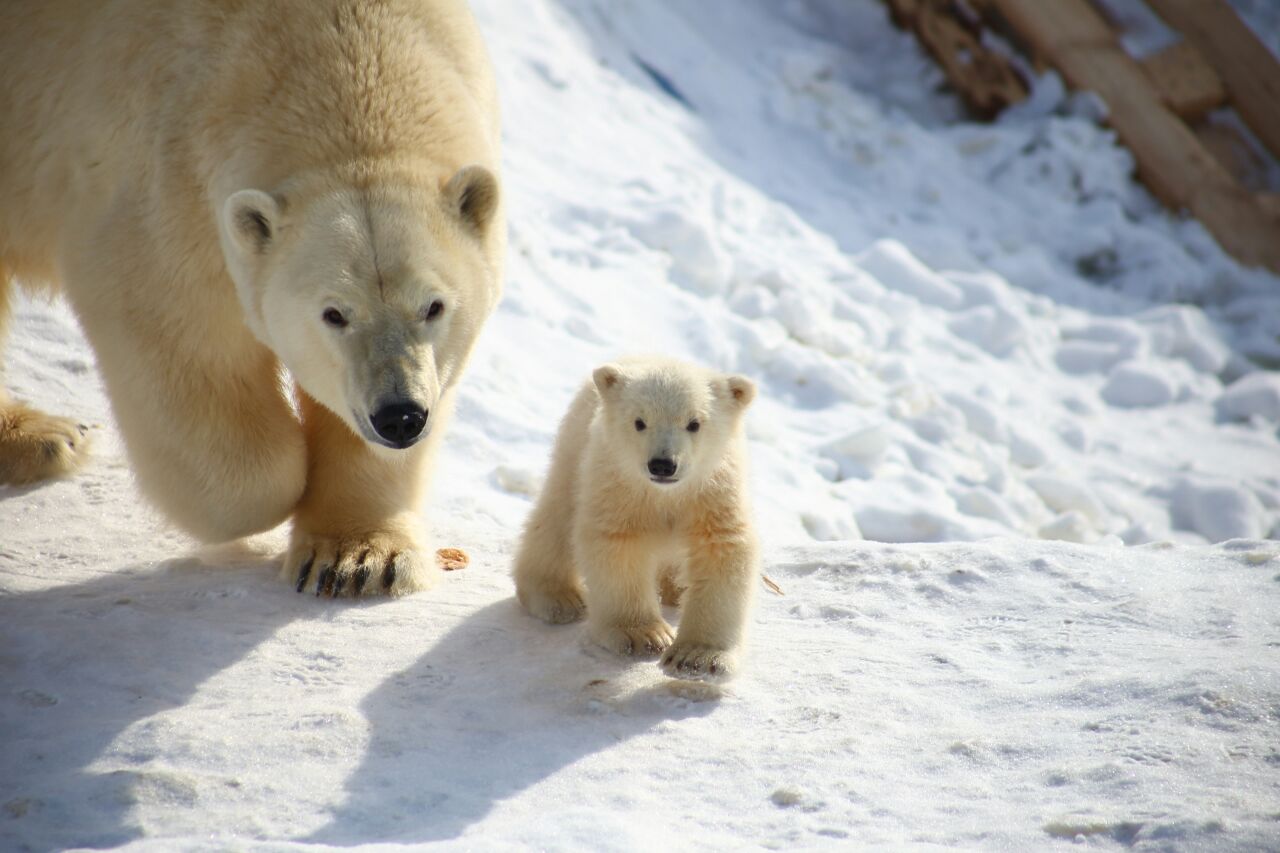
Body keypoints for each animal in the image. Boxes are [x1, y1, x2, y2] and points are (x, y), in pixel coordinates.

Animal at [0, 0, 504, 594]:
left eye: (434, 306)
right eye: (333, 314)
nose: (400, 416)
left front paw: (357, 558)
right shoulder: (164, 183)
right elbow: (178, 338)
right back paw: (52, 436)